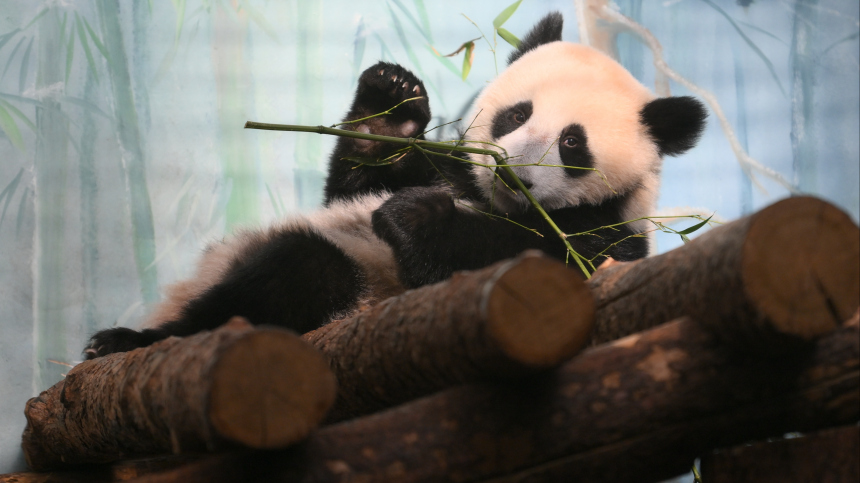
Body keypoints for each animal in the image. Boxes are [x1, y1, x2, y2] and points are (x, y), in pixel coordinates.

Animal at [85, 12, 704, 360]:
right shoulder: (450, 168)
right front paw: (390, 103)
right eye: (516, 115)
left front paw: (419, 218)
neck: (494, 201)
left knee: (298, 271)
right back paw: (126, 339)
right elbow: (350, 189)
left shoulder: (608, 238)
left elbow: (535, 272)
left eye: (572, 144)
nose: (511, 172)